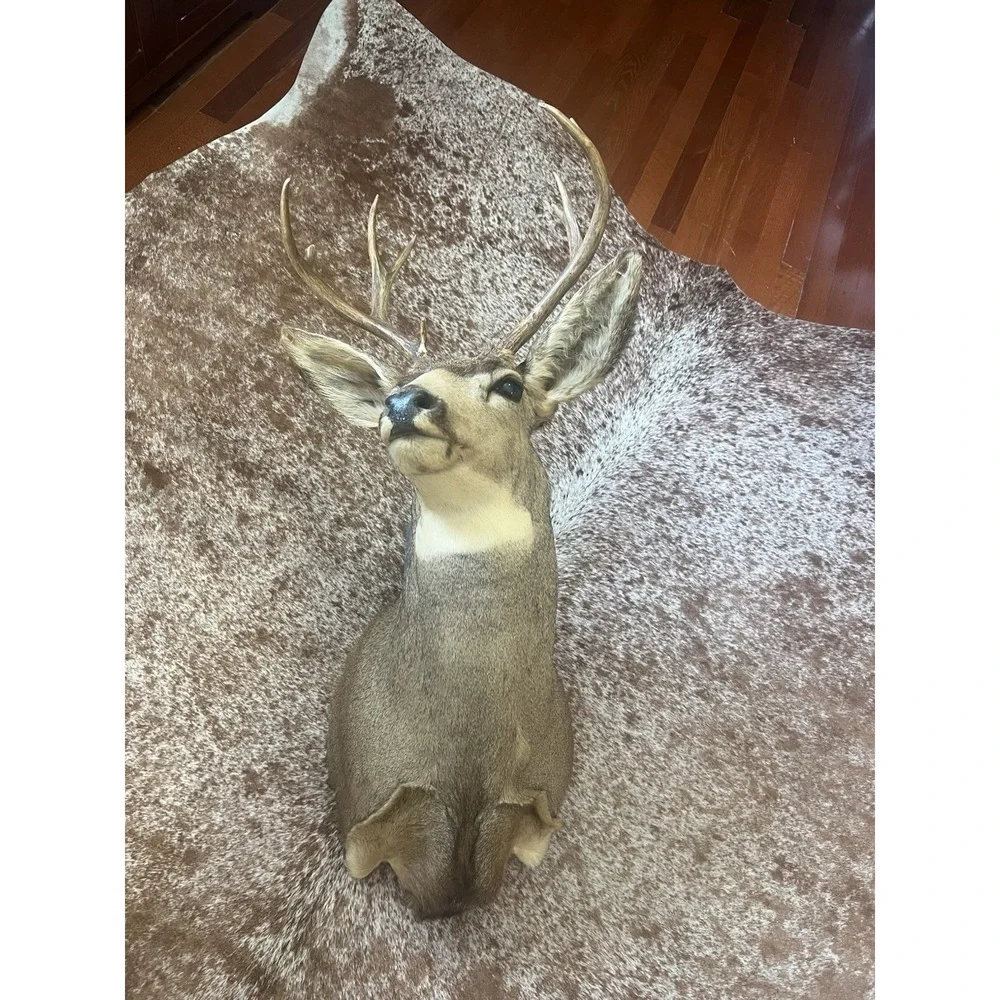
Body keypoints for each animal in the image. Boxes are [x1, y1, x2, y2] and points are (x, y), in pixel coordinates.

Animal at [277, 103, 642, 918]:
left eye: (509, 384)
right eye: (391, 388)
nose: (404, 402)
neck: (468, 757)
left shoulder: (538, 805)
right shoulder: (365, 811)